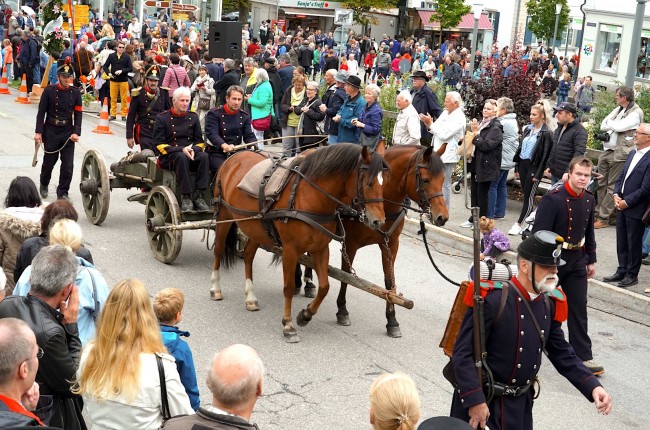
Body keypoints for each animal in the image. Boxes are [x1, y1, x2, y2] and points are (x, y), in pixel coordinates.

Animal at [210, 144, 388, 342]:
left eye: (385, 181)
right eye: (369, 183)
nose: (378, 221)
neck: (309, 195)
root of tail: (235, 155)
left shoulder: (320, 248)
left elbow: (324, 287)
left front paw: (305, 315)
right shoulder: (290, 250)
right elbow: (288, 287)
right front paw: (288, 325)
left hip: (255, 228)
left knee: (248, 256)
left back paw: (250, 297)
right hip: (223, 215)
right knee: (218, 250)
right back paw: (215, 288)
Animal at [332, 146, 448, 338]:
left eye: (443, 179)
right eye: (425, 180)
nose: (442, 217)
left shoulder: (391, 244)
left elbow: (389, 282)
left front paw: (392, 320)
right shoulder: (350, 244)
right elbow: (345, 275)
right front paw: (342, 310)